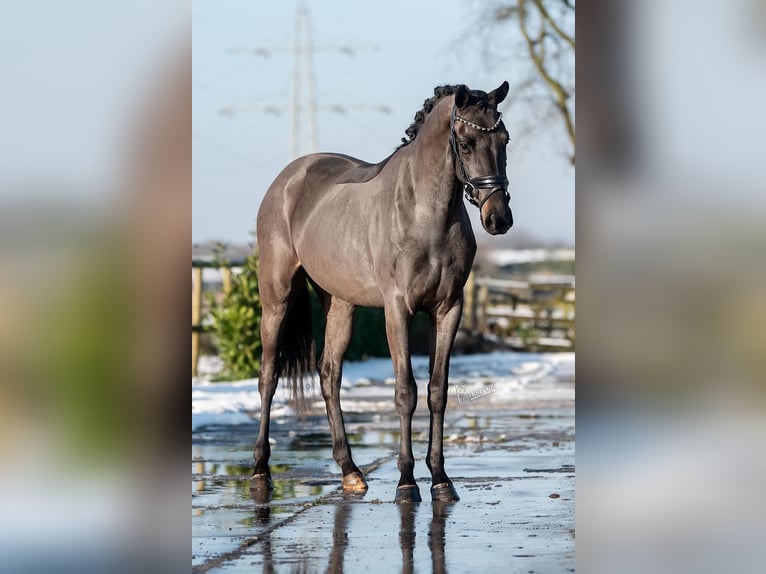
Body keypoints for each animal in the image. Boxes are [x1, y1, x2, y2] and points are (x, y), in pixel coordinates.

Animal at [255, 82, 512, 504]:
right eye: (466, 142)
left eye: (504, 140)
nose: (499, 218)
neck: (425, 215)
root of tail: (287, 180)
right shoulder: (397, 309)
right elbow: (405, 391)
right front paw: (407, 482)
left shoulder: (449, 309)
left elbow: (437, 391)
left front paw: (441, 479)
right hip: (276, 297)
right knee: (268, 377)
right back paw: (260, 471)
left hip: (340, 303)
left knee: (329, 374)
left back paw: (350, 471)